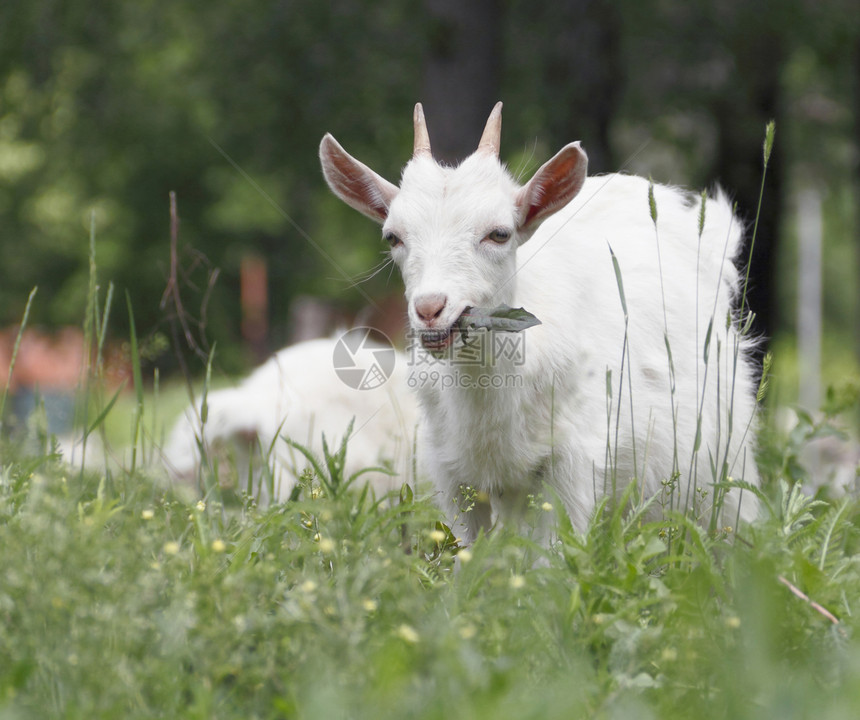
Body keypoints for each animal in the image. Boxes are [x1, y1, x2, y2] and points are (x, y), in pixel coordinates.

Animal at [320, 102, 760, 544]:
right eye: (393, 237)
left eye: (499, 234)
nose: (430, 308)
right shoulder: (451, 473)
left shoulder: (573, 466)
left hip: (721, 455)